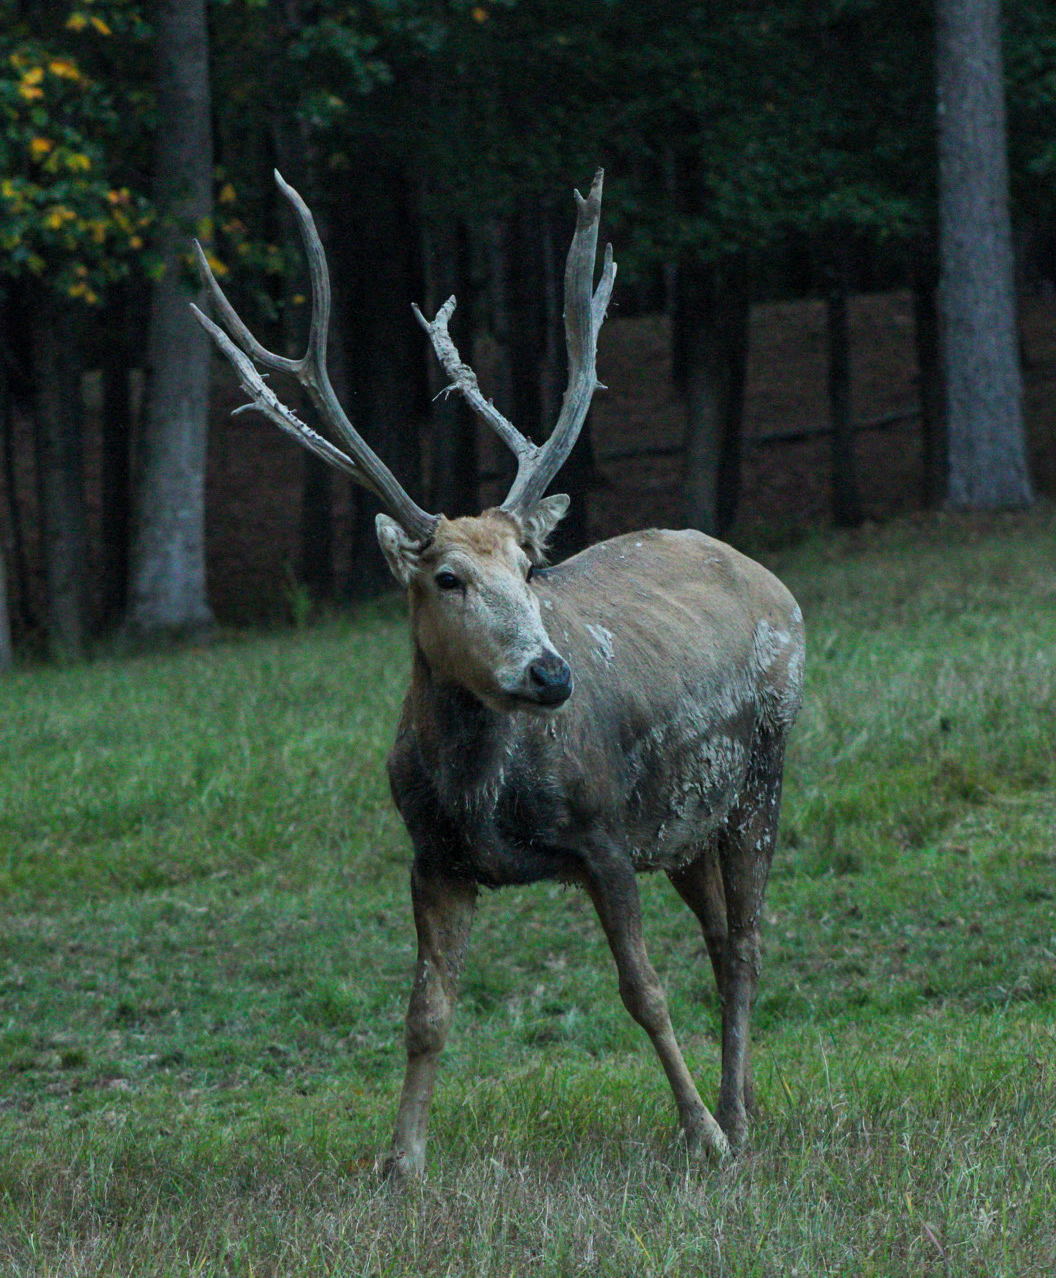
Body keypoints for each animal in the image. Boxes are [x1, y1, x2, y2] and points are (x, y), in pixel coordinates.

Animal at [191, 169, 805, 1176]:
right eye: (447, 577)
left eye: (529, 568)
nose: (550, 675)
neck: (485, 794)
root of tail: (771, 581)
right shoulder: (433, 855)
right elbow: (425, 1015)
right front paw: (400, 1163)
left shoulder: (603, 833)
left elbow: (643, 991)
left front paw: (701, 1137)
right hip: (686, 823)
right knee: (721, 936)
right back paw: (742, 1099)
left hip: (764, 768)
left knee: (749, 941)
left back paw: (739, 1120)